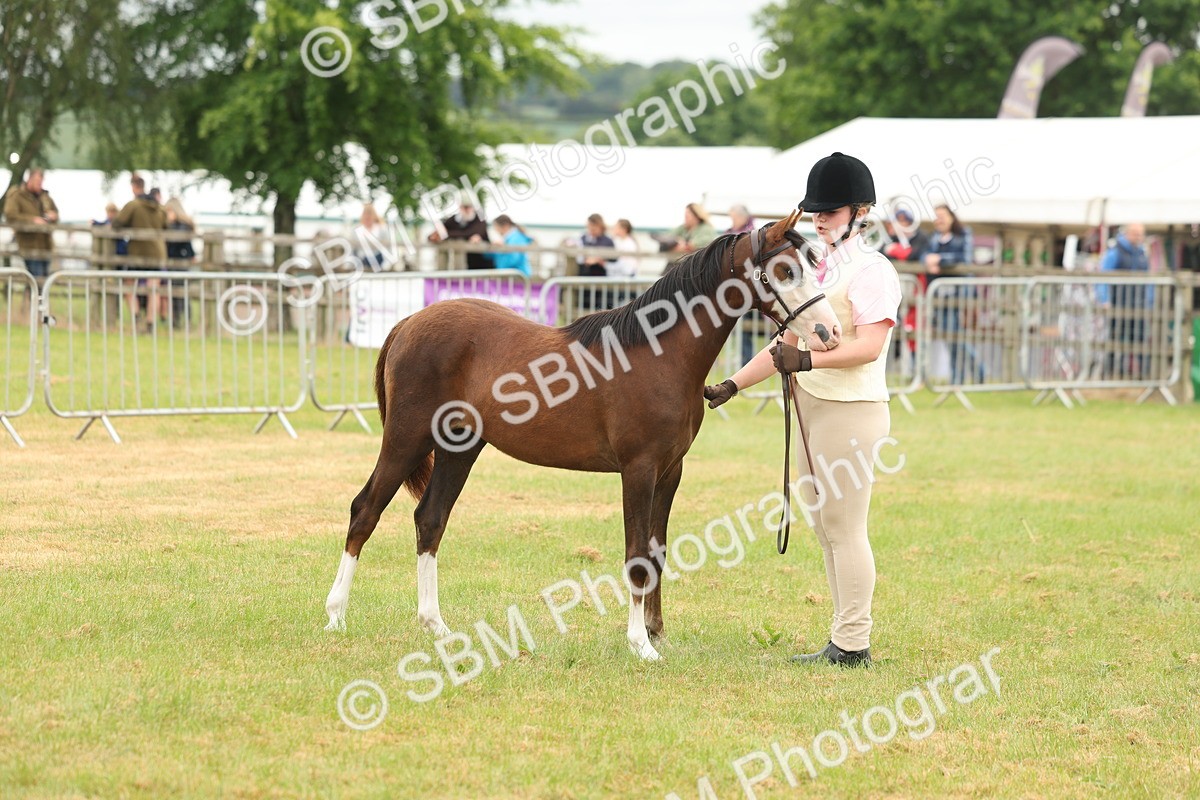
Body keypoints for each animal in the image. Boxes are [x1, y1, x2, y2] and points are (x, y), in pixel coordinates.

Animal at [323, 212, 842, 660]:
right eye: (786, 269)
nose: (829, 331)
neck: (658, 354)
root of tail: (408, 323)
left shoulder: (670, 472)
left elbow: (656, 551)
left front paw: (656, 633)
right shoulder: (638, 470)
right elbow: (636, 555)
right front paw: (640, 645)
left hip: (460, 449)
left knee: (430, 520)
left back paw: (435, 625)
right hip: (405, 438)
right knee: (365, 510)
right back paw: (335, 617)